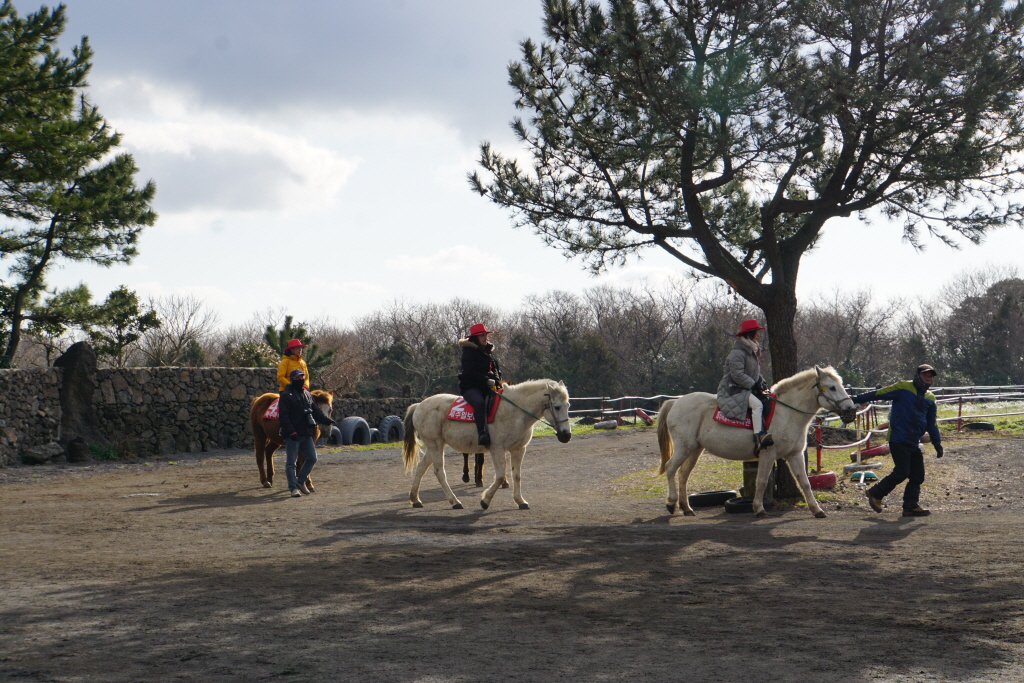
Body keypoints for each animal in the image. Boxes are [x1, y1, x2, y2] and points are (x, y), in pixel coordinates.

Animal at [402, 379, 572, 510]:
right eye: (557, 407)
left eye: (568, 405)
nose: (566, 435)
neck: (514, 411)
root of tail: (419, 406)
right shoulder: (497, 449)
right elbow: (500, 476)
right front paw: (485, 501)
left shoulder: (518, 449)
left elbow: (516, 475)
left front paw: (520, 501)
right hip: (435, 445)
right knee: (439, 472)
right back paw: (454, 501)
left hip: (434, 446)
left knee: (421, 468)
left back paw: (415, 499)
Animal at [657, 366, 856, 518]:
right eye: (832, 387)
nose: (851, 409)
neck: (787, 413)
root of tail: (675, 403)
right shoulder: (769, 454)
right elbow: (761, 481)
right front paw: (759, 509)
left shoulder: (794, 455)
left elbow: (805, 482)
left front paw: (817, 510)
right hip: (684, 448)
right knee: (670, 468)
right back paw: (671, 503)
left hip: (694, 450)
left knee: (683, 474)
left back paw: (686, 507)